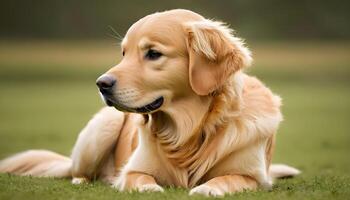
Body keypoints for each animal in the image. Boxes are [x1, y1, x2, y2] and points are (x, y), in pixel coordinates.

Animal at [0, 9, 300, 195]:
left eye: (153, 53)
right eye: (124, 53)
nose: (101, 84)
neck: (189, 132)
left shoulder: (254, 177)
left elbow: (230, 179)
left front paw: (207, 188)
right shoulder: (134, 168)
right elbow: (139, 178)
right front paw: (150, 187)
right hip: (104, 126)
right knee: (79, 171)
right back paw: (81, 180)